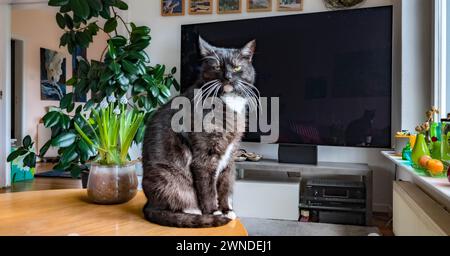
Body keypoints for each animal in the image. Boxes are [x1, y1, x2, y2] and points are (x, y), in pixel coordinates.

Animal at [142, 37, 258, 227]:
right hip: (168, 179)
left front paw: (227, 209)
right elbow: (208, 189)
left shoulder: (231, 153)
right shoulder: (204, 157)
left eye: (236, 67)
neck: (228, 103)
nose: (227, 77)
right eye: (217, 67)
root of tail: (148, 205)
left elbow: (225, 184)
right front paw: (214, 212)